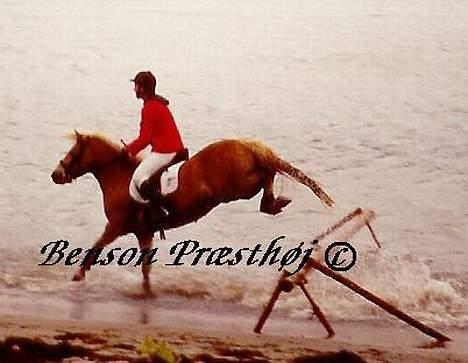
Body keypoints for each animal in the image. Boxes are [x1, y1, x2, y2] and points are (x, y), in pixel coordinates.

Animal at [51, 132, 334, 292]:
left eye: (73, 152)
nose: (56, 175)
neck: (119, 179)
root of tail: (244, 145)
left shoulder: (116, 227)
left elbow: (95, 248)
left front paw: (77, 275)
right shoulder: (144, 233)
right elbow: (145, 268)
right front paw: (147, 289)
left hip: (239, 187)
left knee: (268, 172)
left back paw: (272, 203)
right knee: (268, 172)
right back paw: (274, 203)